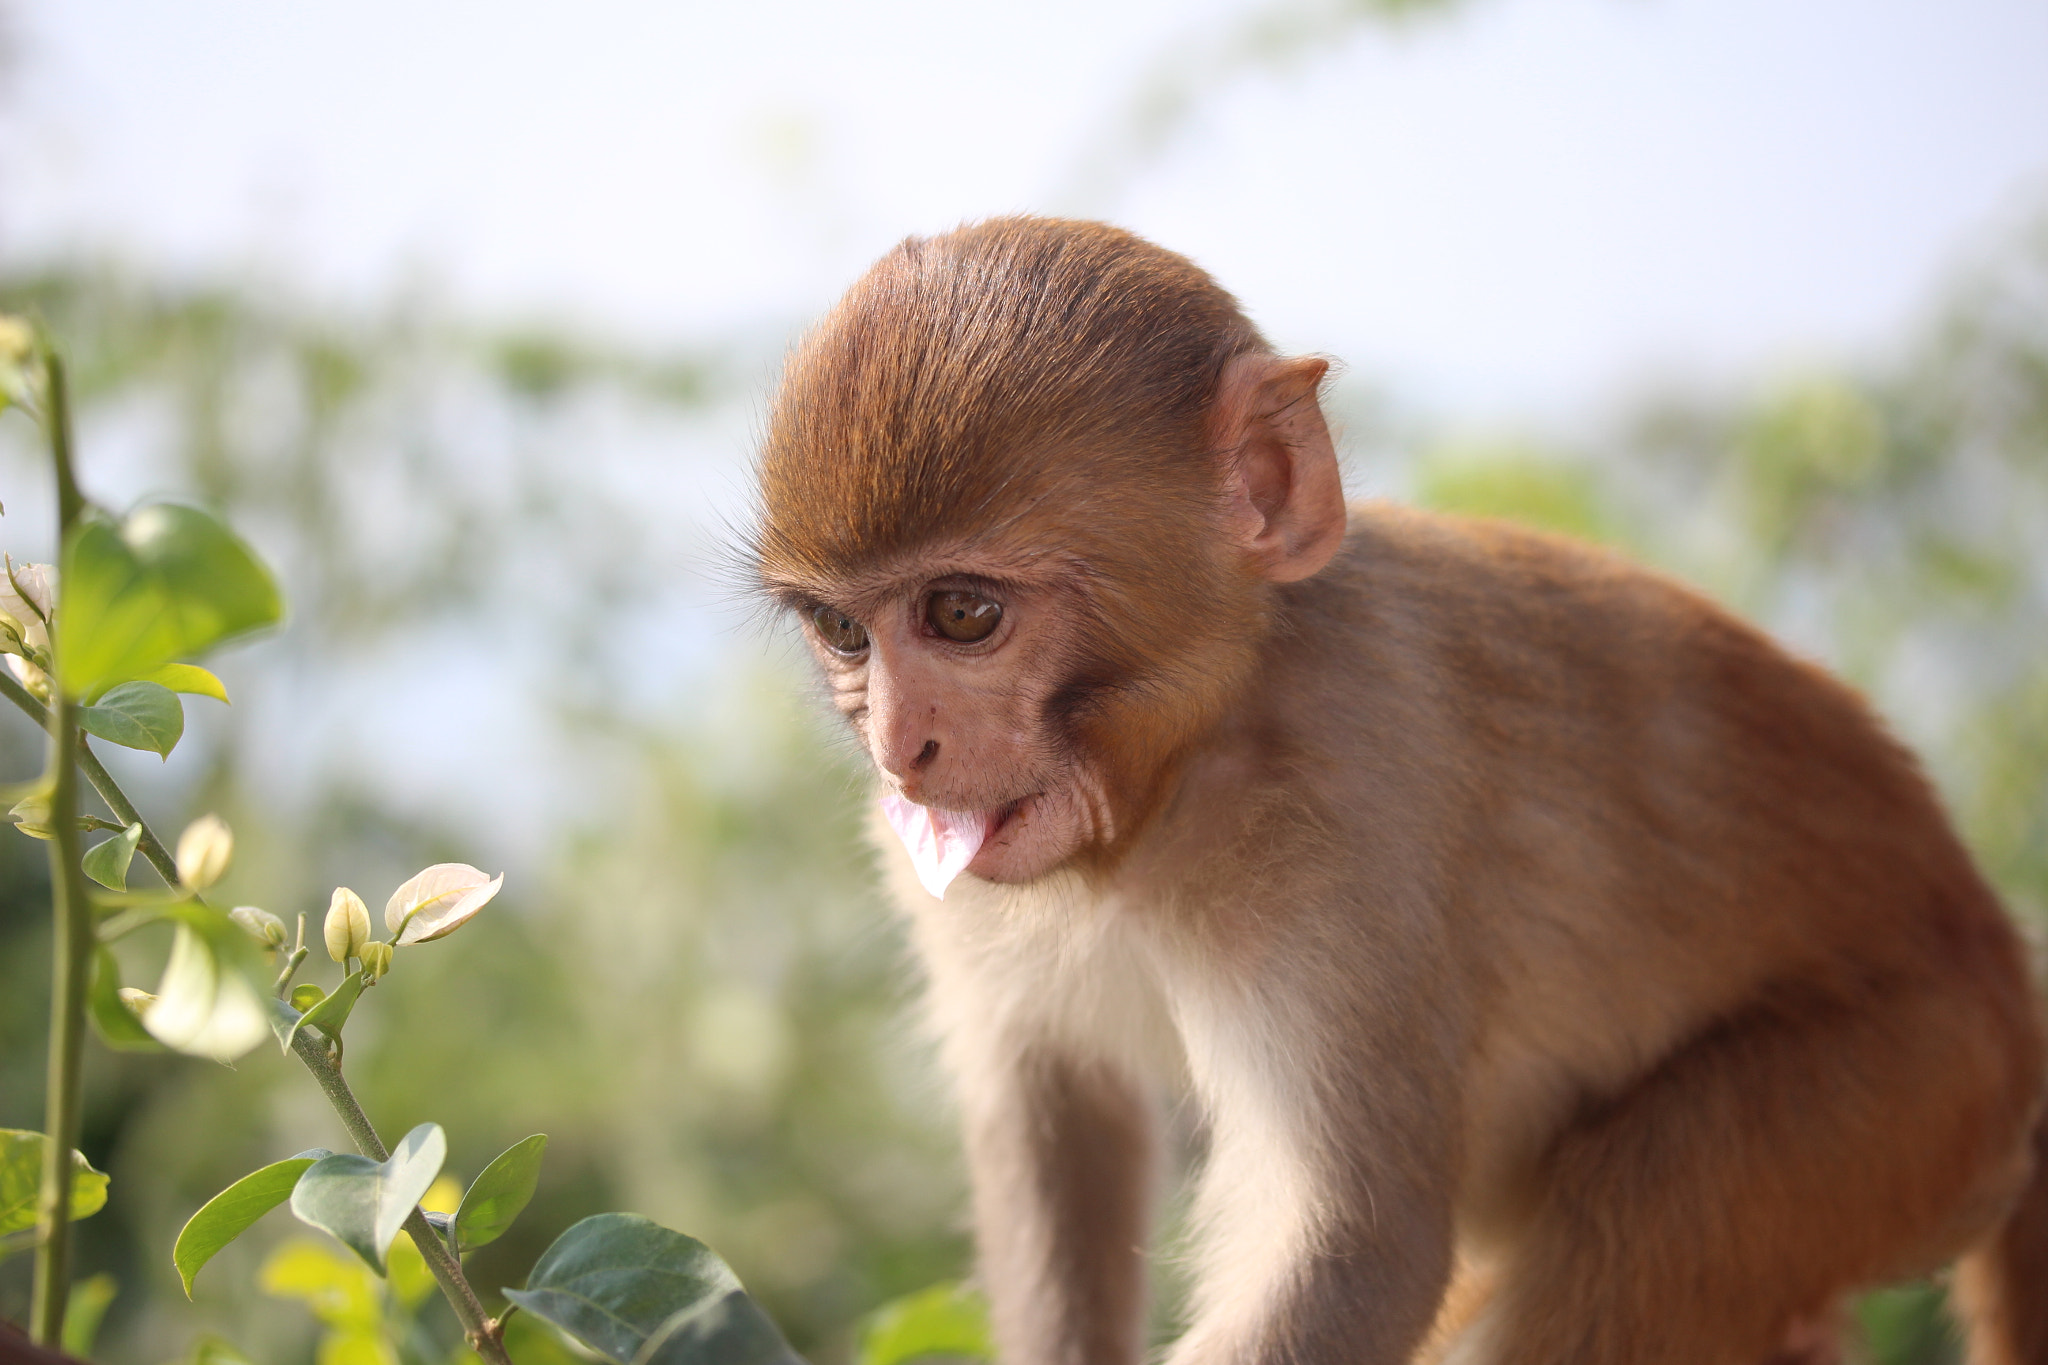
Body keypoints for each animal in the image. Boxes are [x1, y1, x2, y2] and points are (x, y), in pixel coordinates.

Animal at [749, 216, 2048, 1365]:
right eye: (843, 633)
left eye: (962, 614)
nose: (900, 749)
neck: (1183, 768)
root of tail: (1997, 969)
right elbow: (1059, 1125)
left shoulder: (1347, 804)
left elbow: (1355, 1251)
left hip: (1902, 1091)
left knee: (1658, 1192)